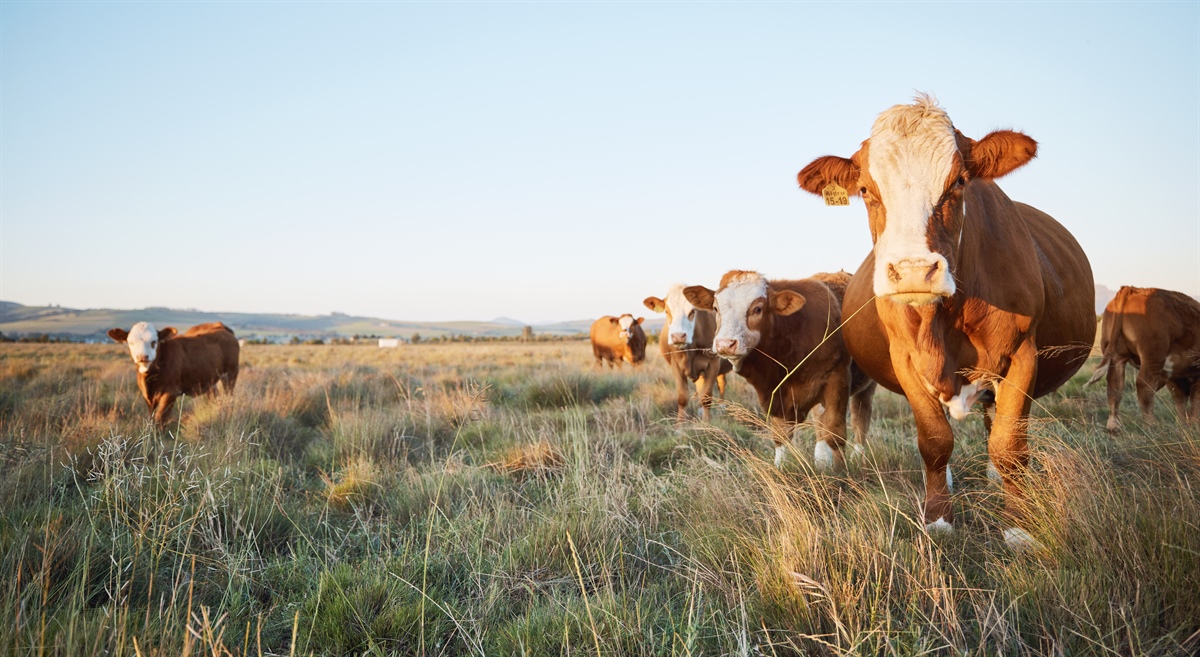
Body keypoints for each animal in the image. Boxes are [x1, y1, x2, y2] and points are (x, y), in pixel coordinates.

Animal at [111, 318, 242, 424]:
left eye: (154, 342)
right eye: (131, 343)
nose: (142, 357)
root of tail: (221, 326)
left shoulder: (170, 393)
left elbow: (160, 419)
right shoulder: (147, 396)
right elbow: (151, 417)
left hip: (231, 374)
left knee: (229, 395)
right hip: (209, 380)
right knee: (213, 396)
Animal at [648, 284, 729, 422]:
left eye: (692, 312)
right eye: (667, 312)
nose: (678, 336)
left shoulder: (713, 363)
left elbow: (706, 397)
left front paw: (707, 423)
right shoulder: (676, 366)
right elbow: (683, 398)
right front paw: (680, 425)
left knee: (721, 384)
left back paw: (722, 409)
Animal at [691, 269, 878, 469]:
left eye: (758, 309)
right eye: (716, 309)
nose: (726, 344)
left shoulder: (838, 380)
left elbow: (835, 433)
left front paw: (841, 472)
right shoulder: (775, 395)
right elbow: (781, 436)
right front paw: (781, 467)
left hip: (867, 386)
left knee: (860, 417)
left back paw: (858, 457)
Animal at [796, 96, 1099, 549]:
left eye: (958, 182)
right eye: (866, 189)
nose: (913, 270)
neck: (943, 318)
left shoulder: (1023, 355)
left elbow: (1010, 444)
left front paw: (1019, 526)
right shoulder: (906, 361)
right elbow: (934, 441)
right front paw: (939, 517)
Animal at [1089, 286, 1200, 431]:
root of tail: (1132, 289)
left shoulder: (1174, 375)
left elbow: (1180, 399)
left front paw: (1183, 424)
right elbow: (1194, 397)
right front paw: (1193, 424)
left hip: (1117, 357)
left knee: (1114, 386)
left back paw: (1114, 425)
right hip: (1153, 357)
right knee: (1144, 386)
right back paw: (1151, 425)